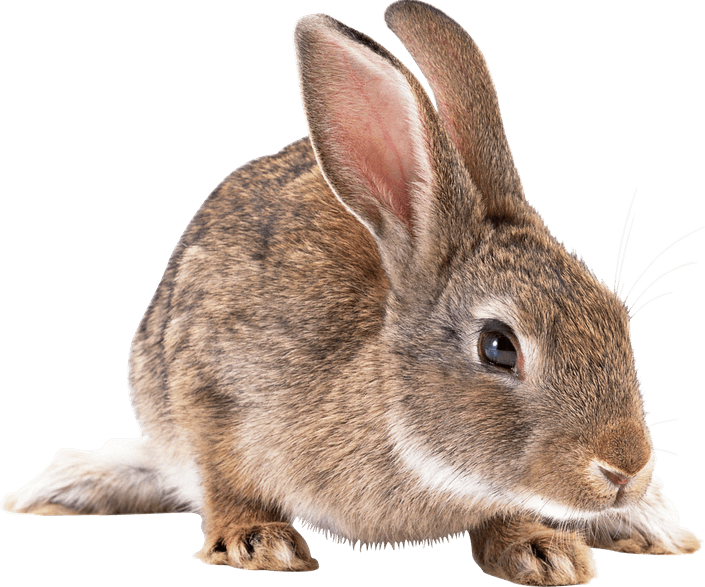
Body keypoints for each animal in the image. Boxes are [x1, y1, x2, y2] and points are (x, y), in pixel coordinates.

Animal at [1, 0, 701, 584]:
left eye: (617, 320)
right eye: (499, 346)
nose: (626, 469)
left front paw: (543, 550)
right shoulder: (208, 389)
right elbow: (224, 480)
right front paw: (258, 542)